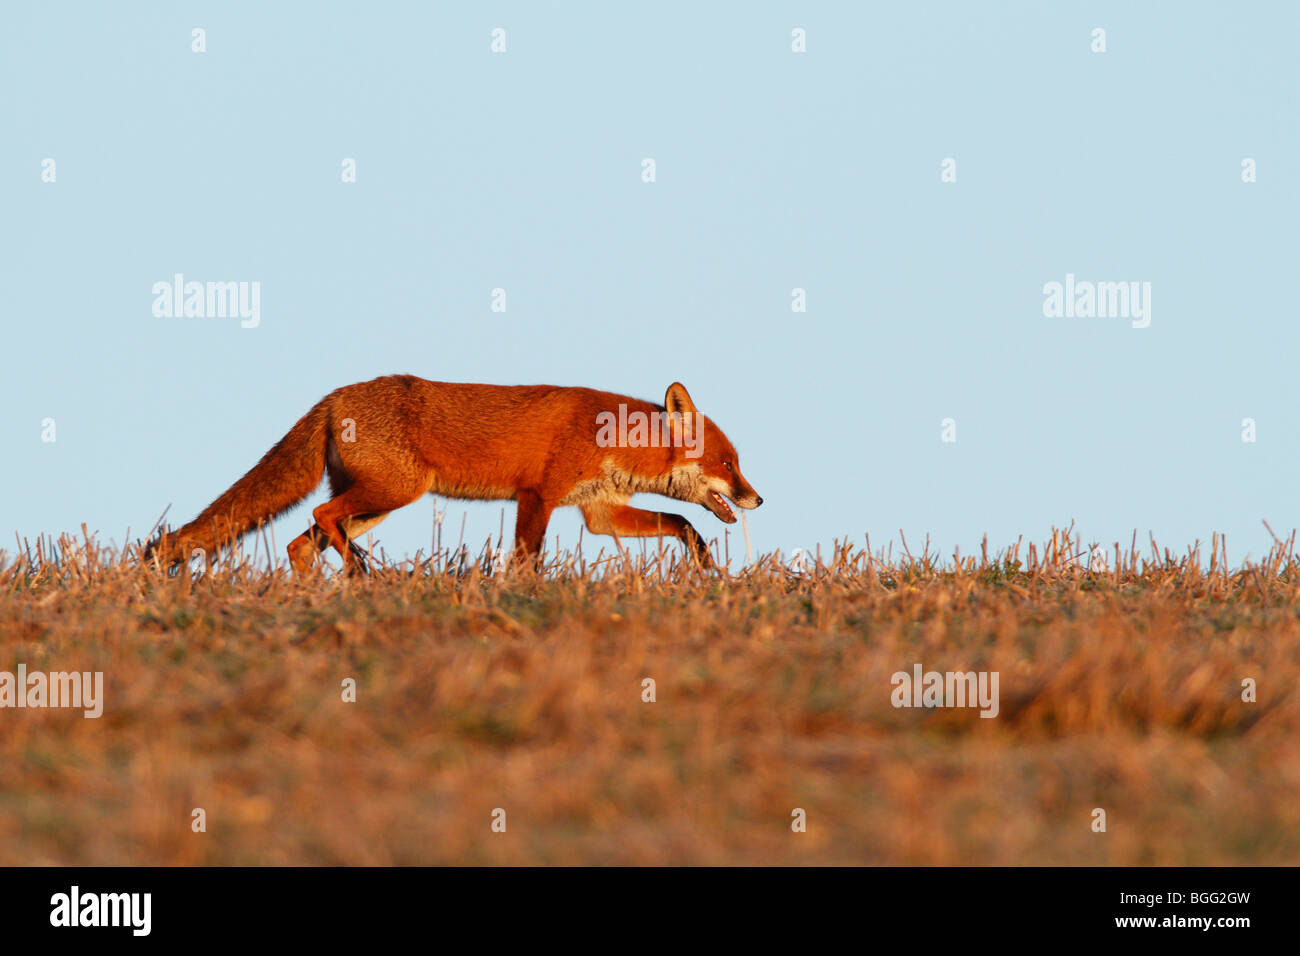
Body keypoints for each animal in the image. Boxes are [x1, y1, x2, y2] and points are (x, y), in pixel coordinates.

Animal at [144, 377, 759, 574]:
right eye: (729, 464)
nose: (757, 498)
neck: (611, 438)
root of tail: (333, 396)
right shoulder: (538, 495)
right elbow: (526, 559)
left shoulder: (600, 511)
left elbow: (681, 523)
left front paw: (705, 566)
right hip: (393, 493)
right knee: (319, 515)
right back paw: (361, 576)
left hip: (376, 503)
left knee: (300, 543)